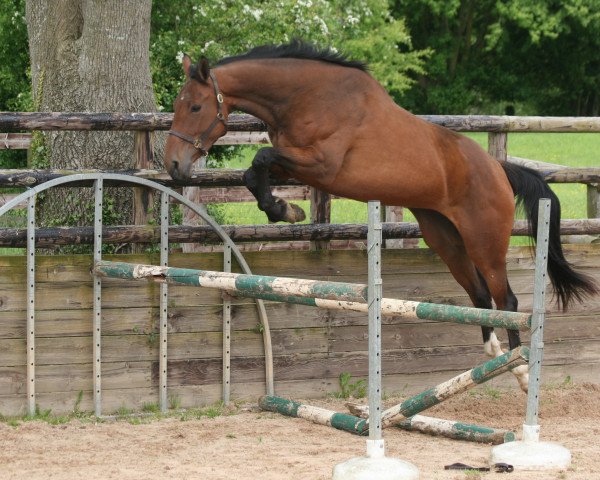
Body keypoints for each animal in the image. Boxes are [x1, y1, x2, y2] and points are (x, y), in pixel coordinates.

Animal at [163, 40, 596, 390]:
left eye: (196, 106)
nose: (173, 165)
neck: (306, 97)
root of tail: (499, 170)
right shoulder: (297, 165)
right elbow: (254, 172)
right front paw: (285, 210)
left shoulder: (322, 165)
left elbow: (260, 158)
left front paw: (286, 209)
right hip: (445, 237)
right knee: (478, 294)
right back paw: (493, 353)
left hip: (484, 240)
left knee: (505, 298)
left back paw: (520, 370)